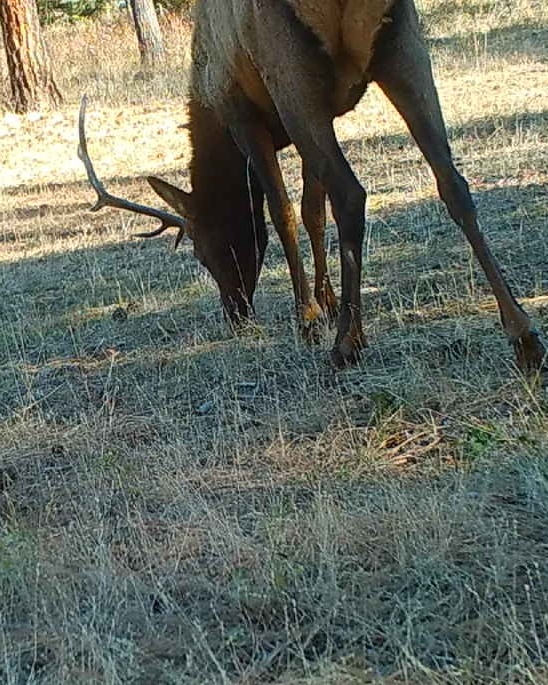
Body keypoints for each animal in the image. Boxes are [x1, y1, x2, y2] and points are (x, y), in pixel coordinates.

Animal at [79, 0, 546, 374]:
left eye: (202, 252)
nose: (236, 313)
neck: (207, 106)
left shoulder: (244, 115)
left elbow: (283, 212)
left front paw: (308, 315)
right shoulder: (323, 114)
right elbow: (312, 212)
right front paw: (329, 299)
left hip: (290, 71)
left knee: (351, 194)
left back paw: (347, 344)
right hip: (402, 44)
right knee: (452, 182)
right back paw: (523, 335)